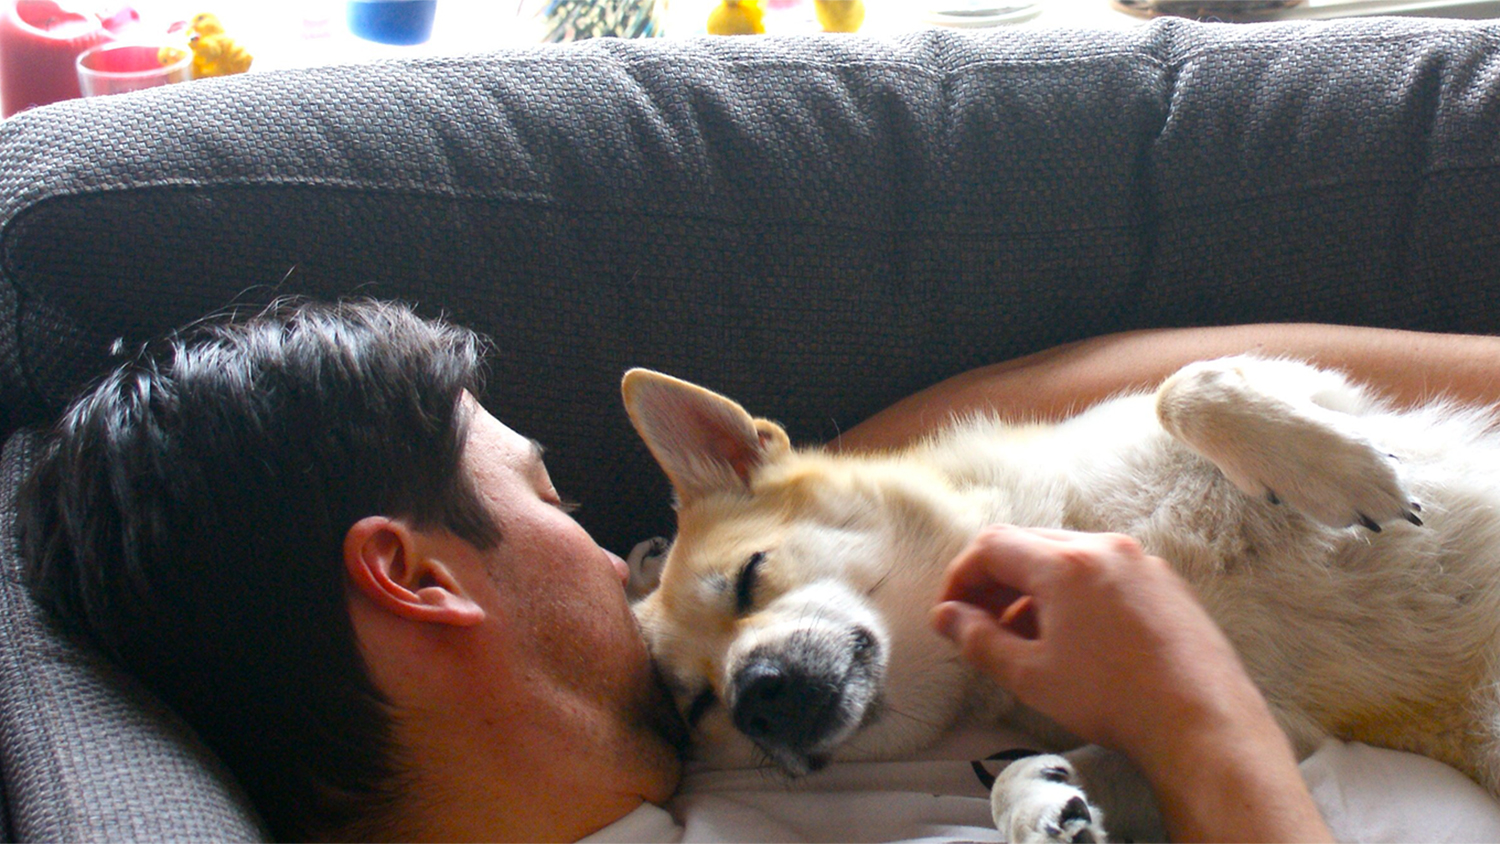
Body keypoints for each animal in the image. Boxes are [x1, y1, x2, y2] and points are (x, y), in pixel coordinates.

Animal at [618, 358, 1500, 844]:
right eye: (700, 709)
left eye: (749, 577)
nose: (756, 700)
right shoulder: (1238, 717)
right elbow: (1033, 772)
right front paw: (1037, 803)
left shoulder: (1321, 388)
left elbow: (1185, 386)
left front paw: (1337, 469)